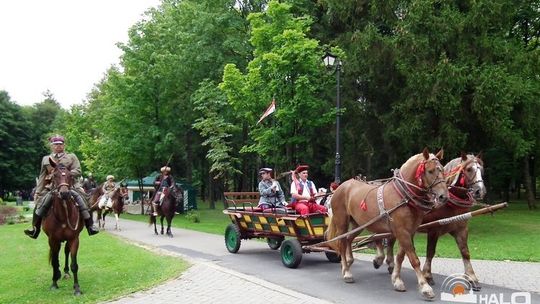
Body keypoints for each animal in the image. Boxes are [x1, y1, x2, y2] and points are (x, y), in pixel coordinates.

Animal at [41, 159, 84, 294]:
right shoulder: (52, 240)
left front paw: (77, 288)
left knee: (66, 252)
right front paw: (54, 283)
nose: (64, 193)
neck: (63, 216)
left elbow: (74, 264)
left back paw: (65, 272)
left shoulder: (74, 239)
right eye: (54, 175)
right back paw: (58, 274)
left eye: (70, 176)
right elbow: (55, 262)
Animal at [326, 147, 450, 300]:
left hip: (358, 224)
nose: (443, 196)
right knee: (342, 243)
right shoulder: (402, 231)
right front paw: (425, 287)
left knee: (349, 239)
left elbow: (401, 257)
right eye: (430, 171)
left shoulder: (409, 231)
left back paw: (349, 262)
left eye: (442, 170)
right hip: (342, 222)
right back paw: (346, 271)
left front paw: (396, 280)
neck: (403, 196)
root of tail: (340, 187)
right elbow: (414, 259)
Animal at [374, 152, 488, 290]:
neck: (449, 203)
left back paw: (390, 264)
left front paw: (472, 277)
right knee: (380, 238)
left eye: (481, 169)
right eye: (469, 169)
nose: (479, 191)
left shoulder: (461, 229)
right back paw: (380, 260)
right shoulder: (434, 230)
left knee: (390, 241)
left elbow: (465, 252)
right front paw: (427, 275)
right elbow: (430, 252)